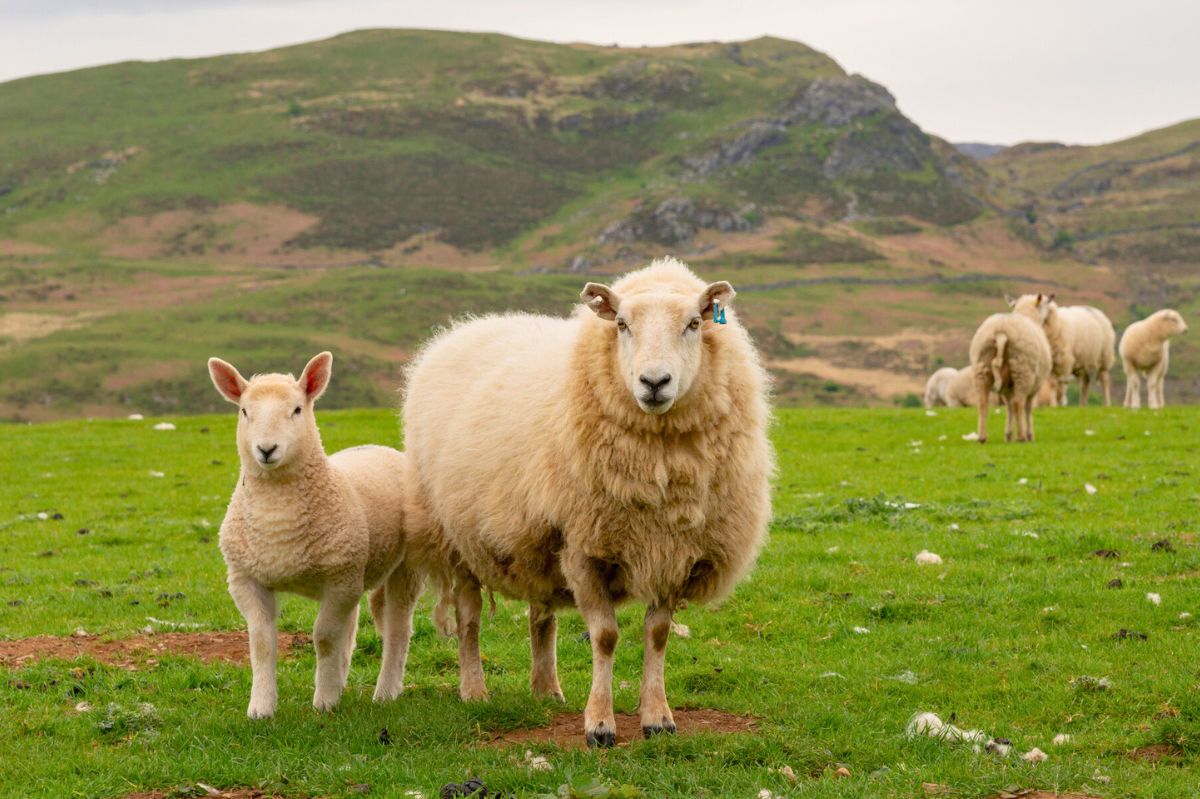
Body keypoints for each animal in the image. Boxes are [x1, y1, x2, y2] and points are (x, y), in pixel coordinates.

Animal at [208, 350, 429, 715]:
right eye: (244, 411)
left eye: (297, 409)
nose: (266, 449)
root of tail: (381, 448)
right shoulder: (245, 579)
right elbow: (261, 643)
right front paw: (261, 707)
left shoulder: (339, 578)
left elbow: (324, 637)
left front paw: (324, 701)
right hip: (358, 568)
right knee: (353, 625)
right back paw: (342, 679)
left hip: (403, 566)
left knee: (398, 627)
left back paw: (385, 691)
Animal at [408, 256, 772, 748]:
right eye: (621, 324)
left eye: (694, 324)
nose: (654, 382)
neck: (658, 463)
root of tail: (464, 327)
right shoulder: (584, 546)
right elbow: (604, 636)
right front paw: (599, 724)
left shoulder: (672, 551)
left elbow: (658, 635)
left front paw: (658, 716)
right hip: (457, 536)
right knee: (469, 618)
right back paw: (474, 690)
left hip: (537, 542)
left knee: (541, 617)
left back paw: (546, 689)